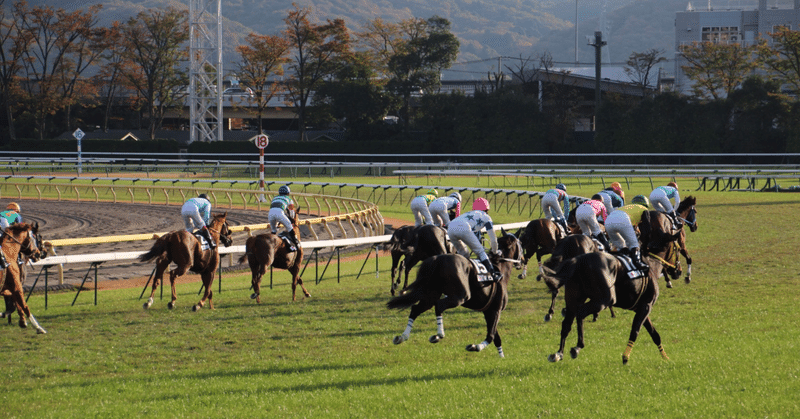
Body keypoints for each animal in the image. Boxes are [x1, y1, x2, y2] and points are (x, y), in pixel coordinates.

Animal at [388, 231, 524, 360]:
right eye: (521, 244)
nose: (522, 260)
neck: (500, 269)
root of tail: (437, 259)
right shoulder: (496, 310)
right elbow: (490, 336)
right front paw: (475, 347)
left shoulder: (488, 311)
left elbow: (496, 337)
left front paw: (502, 357)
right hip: (460, 296)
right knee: (439, 306)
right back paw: (439, 335)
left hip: (430, 295)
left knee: (415, 309)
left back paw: (402, 337)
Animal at [536, 236, 680, 364]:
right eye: (678, 249)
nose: (678, 272)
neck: (650, 264)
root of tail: (578, 260)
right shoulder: (646, 305)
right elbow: (635, 331)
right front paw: (625, 357)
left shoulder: (640, 307)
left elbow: (654, 334)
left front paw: (665, 357)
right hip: (604, 300)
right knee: (580, 313)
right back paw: (578, 346)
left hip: (573, 299)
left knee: (567, 323)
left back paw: (558, 353)